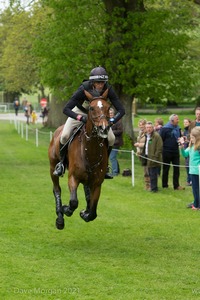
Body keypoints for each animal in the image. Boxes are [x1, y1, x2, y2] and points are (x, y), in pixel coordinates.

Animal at [48, 89, 111, 230]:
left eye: (108, 107)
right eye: (92, 108)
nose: (104, 128)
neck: (90, 149)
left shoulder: (97, 183)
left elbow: (93, 212)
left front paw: (85, 214)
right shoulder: (73, 177)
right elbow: (73, 202)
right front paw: (66, 209)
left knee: (86, 191)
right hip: (52, 167)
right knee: (57, 189)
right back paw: (60, 218)